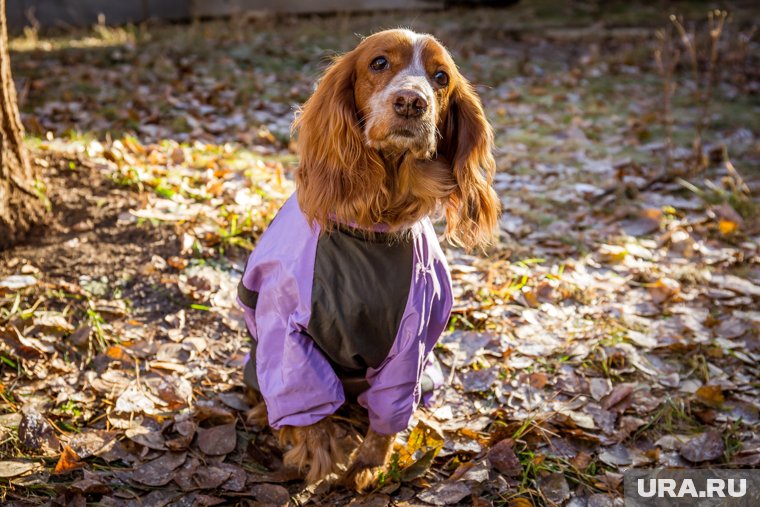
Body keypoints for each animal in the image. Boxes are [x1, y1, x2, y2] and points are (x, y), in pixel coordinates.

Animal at [238, 27, 498, 492]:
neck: (373, 227)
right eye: (379, 63)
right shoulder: (286, 334)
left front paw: (368, 466)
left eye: (441, 77)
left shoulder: (410, 343)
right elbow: (311, 413)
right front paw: (322, 460)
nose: (412, 101)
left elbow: (388, 414)